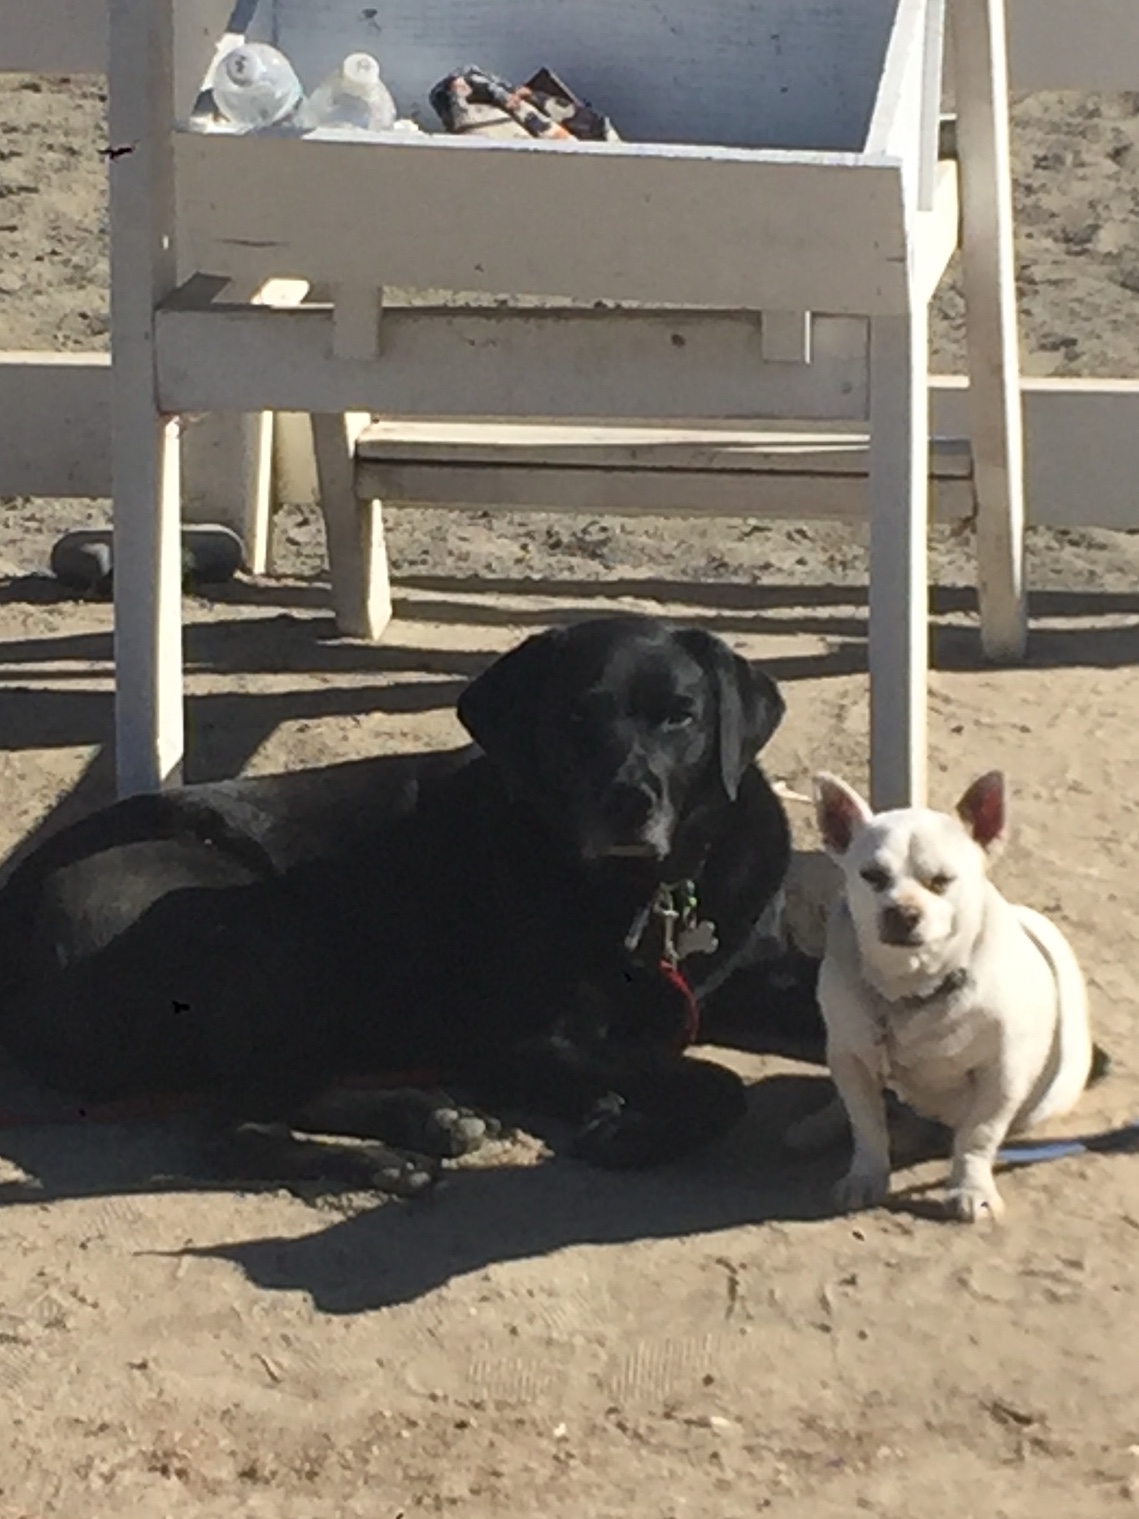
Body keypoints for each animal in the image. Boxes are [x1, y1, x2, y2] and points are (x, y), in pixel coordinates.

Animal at [0, 615, 817, 1193]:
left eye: (680, 716)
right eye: (575, 721)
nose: (629, 803)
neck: (648, 897)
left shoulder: (751, 973)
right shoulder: (516, 1038)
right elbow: (716, 1082)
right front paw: (626, 1129)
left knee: (276, 1089)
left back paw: (424, 1117)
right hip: (273, 932)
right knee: (228, 1122)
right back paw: (385, 1160)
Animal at [785, 770, 1093, 1222]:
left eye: (941, 882)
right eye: (872, 877)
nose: (902, 911)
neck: (912, 987)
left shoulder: (1002, 1075)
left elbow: (977, 1135)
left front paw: (971, 1187)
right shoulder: (852, 1059)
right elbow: (867, 1125)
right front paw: (866, 1175)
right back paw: (817, 1128)